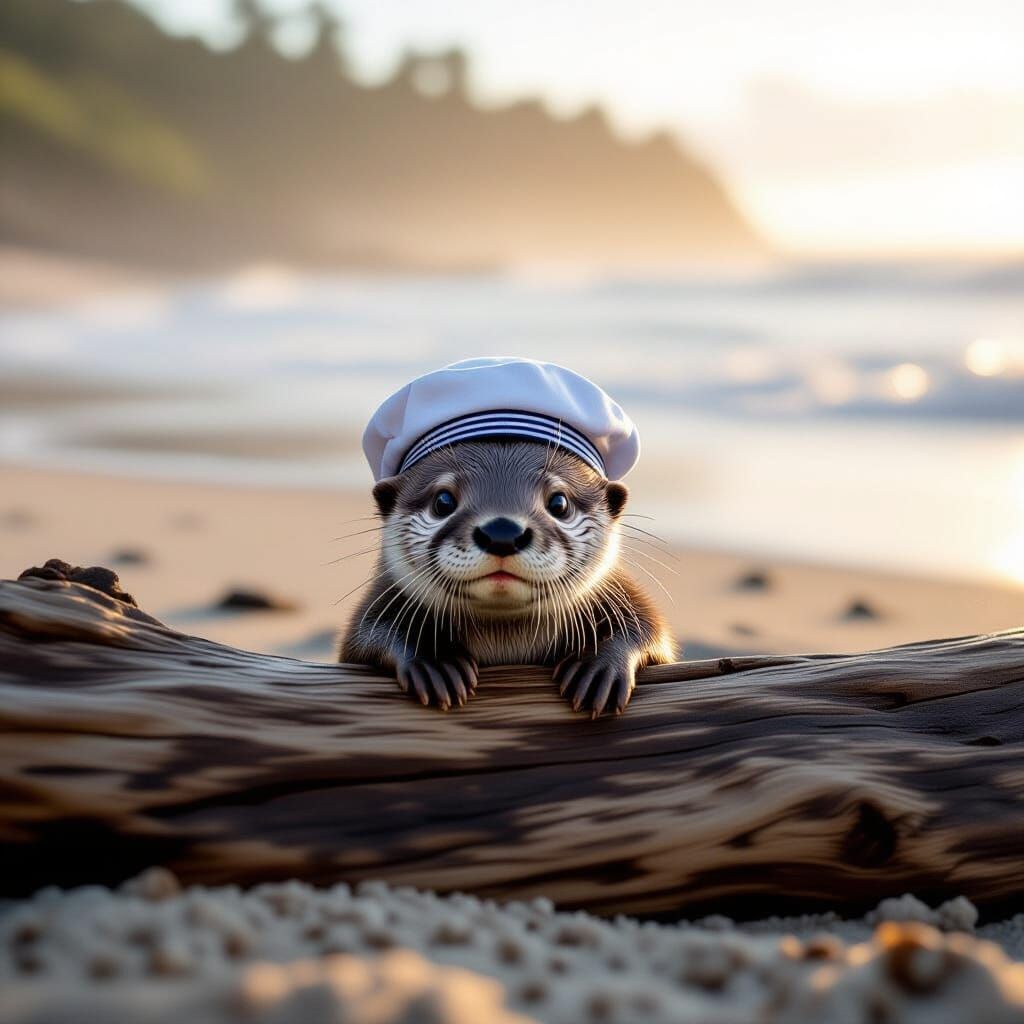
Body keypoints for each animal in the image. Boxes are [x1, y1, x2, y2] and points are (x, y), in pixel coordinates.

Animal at [340, 439, 674, 717]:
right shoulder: (380, 600)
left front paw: (597, 666)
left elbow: (648, 629)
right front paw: (434, 660)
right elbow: (368, 633)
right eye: (443, 501)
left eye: (559, 503)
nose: (502, 532)